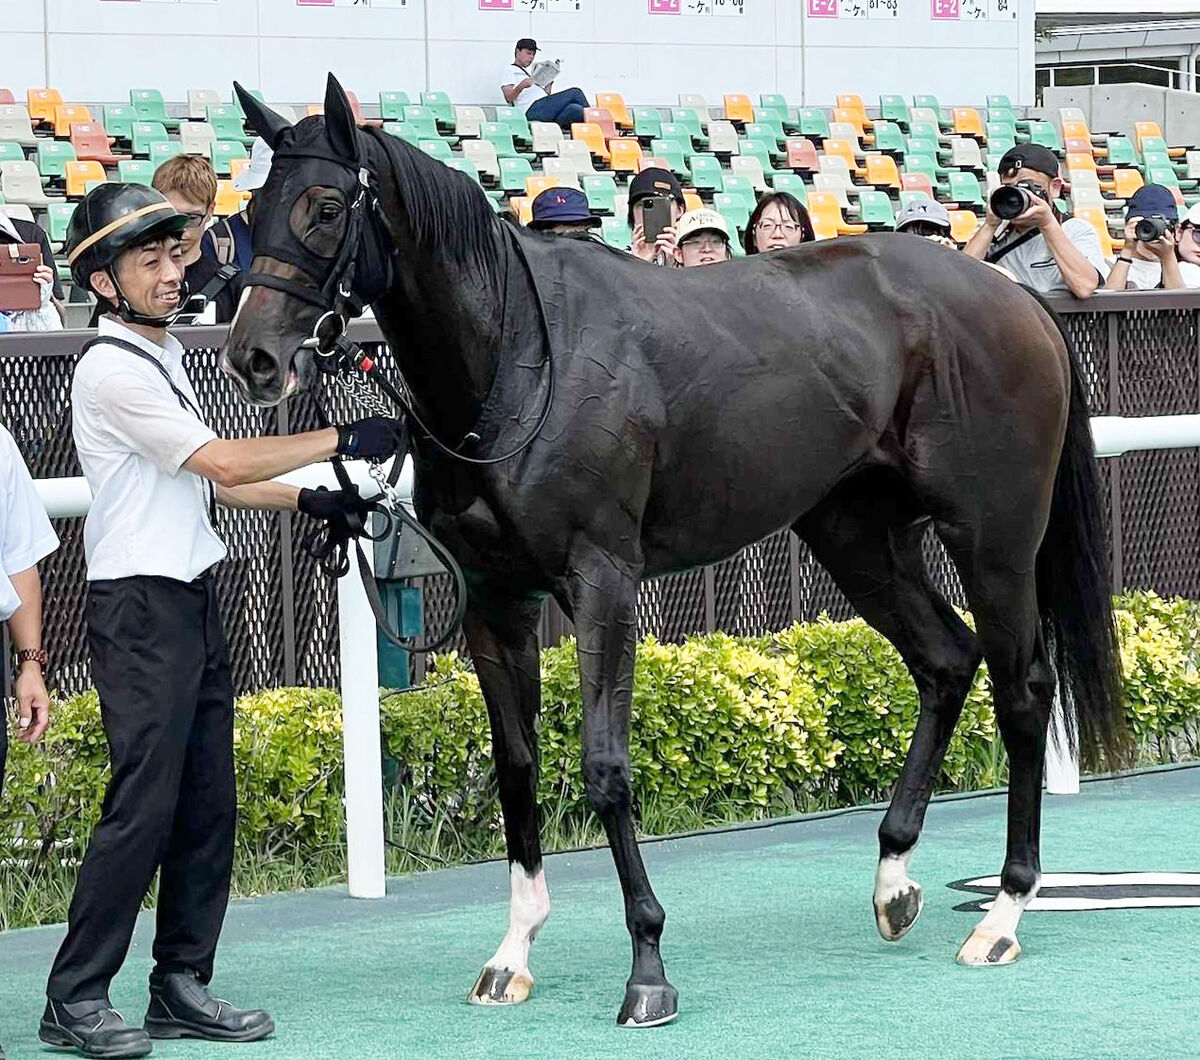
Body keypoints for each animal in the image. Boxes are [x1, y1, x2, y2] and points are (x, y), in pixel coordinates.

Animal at [223, 74, 1123, 1027]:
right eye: (254, 208)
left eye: (326, 207)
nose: (254, 358)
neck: (520, 354)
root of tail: (1014, 298)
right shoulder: (496, 598)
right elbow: (515, 768)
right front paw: (512, 953)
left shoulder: (602, 581)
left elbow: (606, 767)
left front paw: (647, 965)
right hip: (854, 536)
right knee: (946, 662)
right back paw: (894, 879)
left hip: (994, 539)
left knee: (1023, 690)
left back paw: (1003, 912)